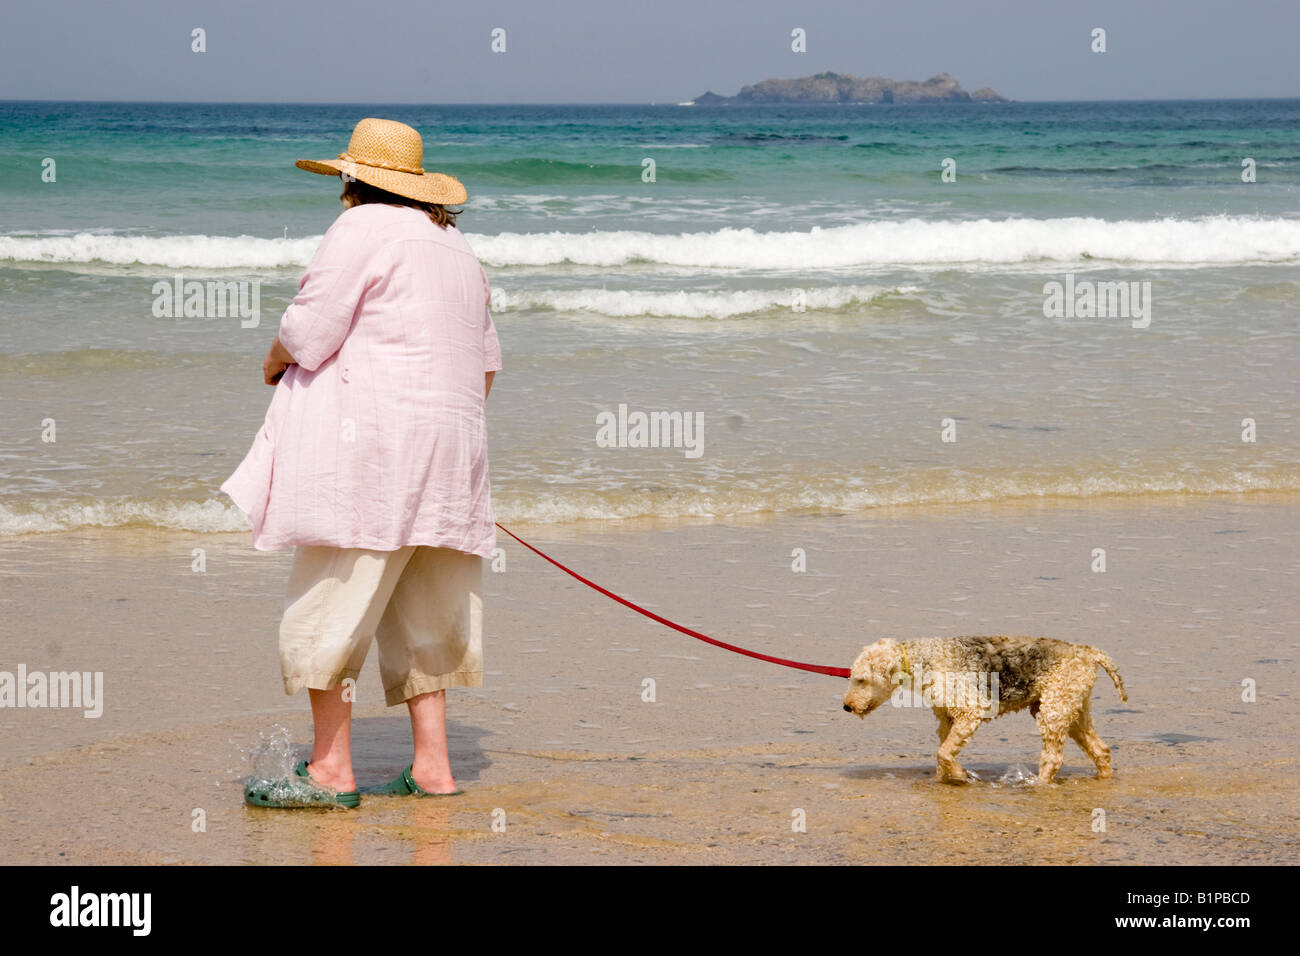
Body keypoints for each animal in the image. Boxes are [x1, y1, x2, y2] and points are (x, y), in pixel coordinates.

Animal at [842, 634, 1128, 785]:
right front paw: (942, 780)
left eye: (861, 679)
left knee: (1054, 758)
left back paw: (1038, 784)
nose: (846, 706)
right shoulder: (947, 719)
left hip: (1053, 712)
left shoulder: (971, 712)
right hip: (1073, 711)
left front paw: (960, 775)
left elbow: (943, 753)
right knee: (1101, 750)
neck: (922, 660)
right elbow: (943, 753)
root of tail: (1090, 653)